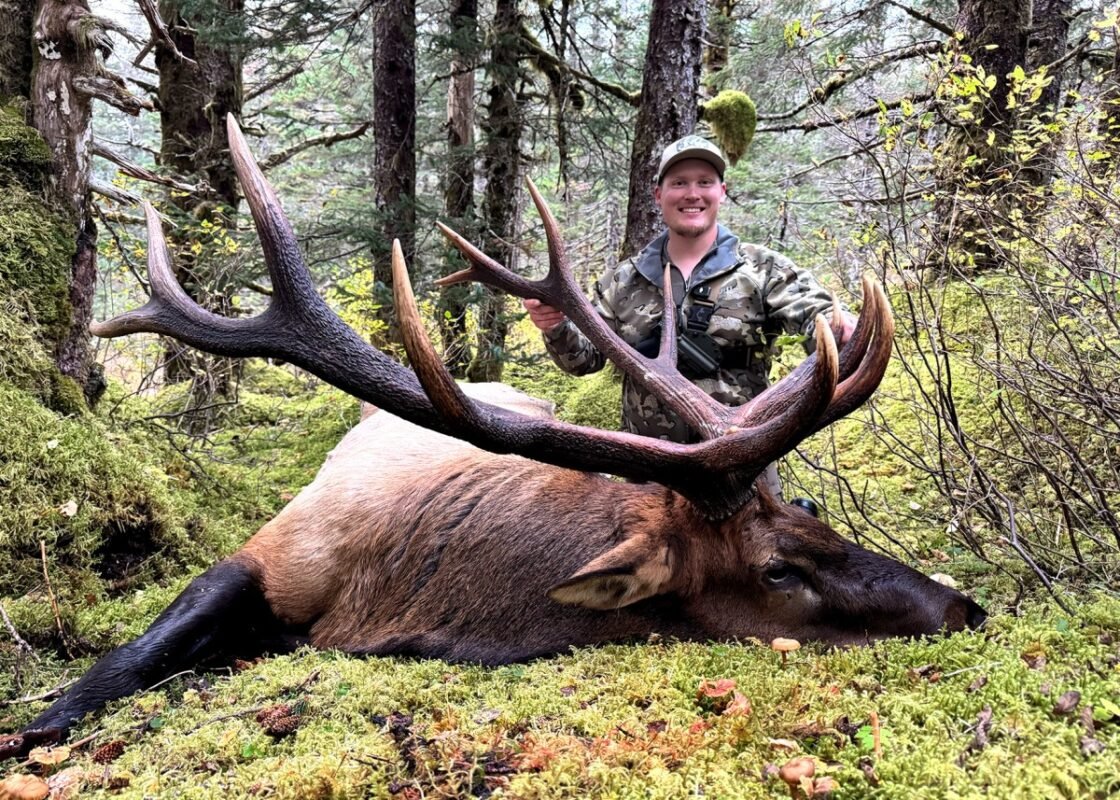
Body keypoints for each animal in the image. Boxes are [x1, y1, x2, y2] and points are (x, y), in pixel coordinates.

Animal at [0, 117, 986, 760]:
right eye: (777, 570)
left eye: (818, 513)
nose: (964, 609)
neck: (390, 598)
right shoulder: (276, 545)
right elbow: (123, 660)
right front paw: (39, 726)